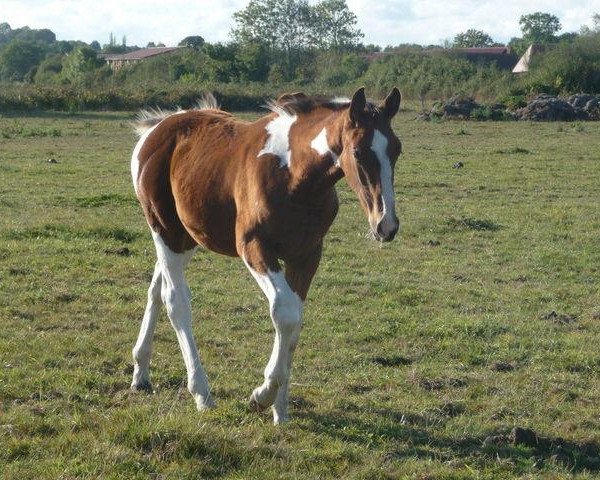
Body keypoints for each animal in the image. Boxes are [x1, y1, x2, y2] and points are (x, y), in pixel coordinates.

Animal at [131, 87, 404, 424]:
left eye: (397, 150)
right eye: (357, 152)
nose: (386, 224)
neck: (294, 177)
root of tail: (158, 127)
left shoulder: (307, 254)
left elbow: (295, 320)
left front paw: (281, 411)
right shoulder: (254, 247)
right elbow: (284, 312)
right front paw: (262, 396)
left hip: (186, 237)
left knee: (156, 290)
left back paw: (141, 373)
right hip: (164, 231)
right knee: (175, 300)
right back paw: (202, 393)